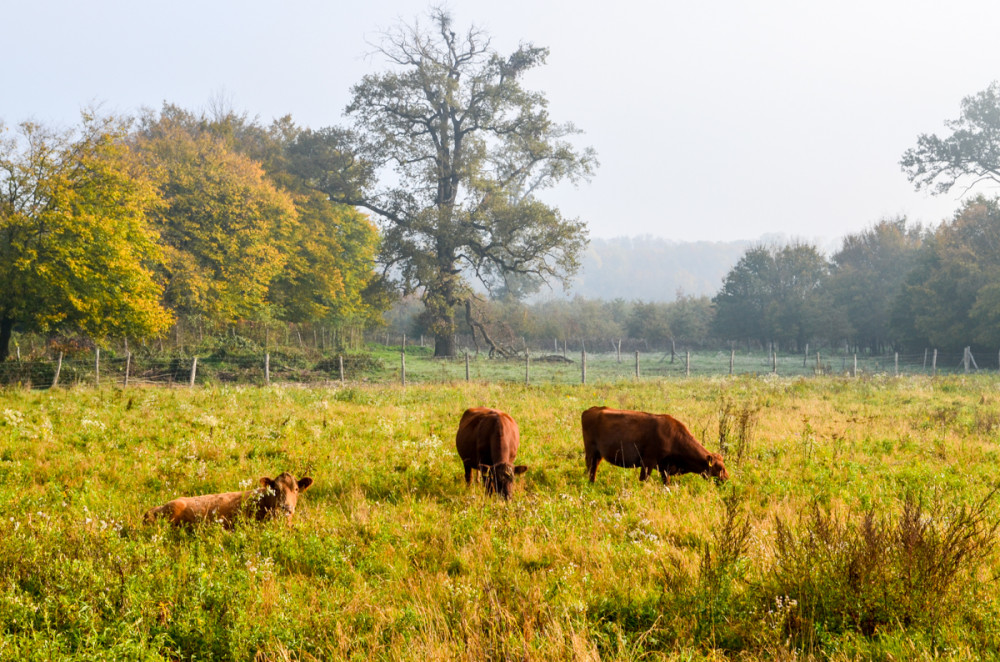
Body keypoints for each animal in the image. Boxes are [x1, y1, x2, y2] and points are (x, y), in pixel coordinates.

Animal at [580, 408, 728, 486]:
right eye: (719, 468)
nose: (727, 478)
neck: (673, 437)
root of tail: (593, 409)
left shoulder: (665, 468)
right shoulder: (647, 462)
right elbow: (643, 480)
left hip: (598, 455)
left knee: (593, 469)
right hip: (591, 452)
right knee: (591, 468)